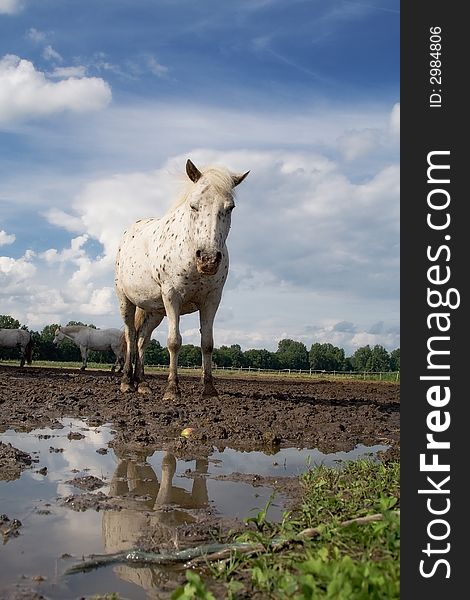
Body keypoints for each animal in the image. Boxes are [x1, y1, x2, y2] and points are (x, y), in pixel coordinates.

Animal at [115, 159, 250, 400]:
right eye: (193, 205)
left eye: (230, 207)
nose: (208, 259)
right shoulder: (172, 298)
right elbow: (174, 342)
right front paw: (172, 390)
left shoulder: (211, 301)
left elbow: (207, 343)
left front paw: (209, 389)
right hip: (126, 301)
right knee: (131, 336)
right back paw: (126, 383)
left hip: (154, 311)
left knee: (142, 340)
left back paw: (142, 383)